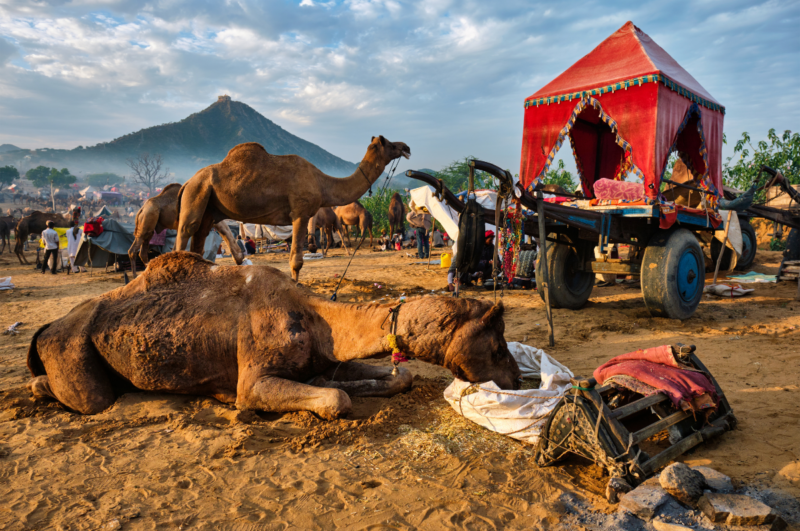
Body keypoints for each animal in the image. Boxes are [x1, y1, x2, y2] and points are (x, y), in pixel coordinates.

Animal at [26, 252, 520, 419]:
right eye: (497, 346)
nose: (517, 380)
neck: (316, 317)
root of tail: (47, 328)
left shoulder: (326, 358)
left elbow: (395, 377)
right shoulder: (256, 377)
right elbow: (336, 400)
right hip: (71, 349)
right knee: (88, 397)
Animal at [173, 136, 410, 281]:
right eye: (389, 143)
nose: (406, 147)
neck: (322, 183)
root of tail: (186, 182)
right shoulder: (300, 213)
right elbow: (296, 261)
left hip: (208, 206)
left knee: (199, 238)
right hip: (196, 193)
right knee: (186, 231)